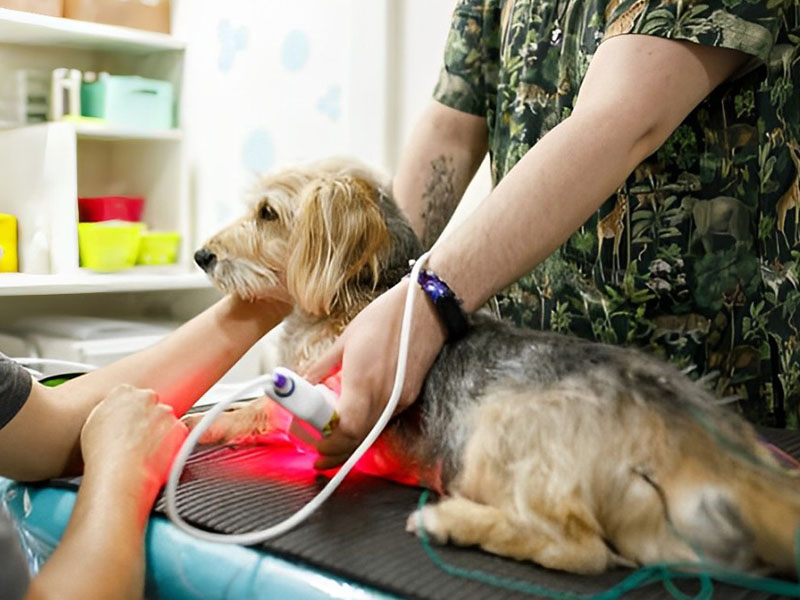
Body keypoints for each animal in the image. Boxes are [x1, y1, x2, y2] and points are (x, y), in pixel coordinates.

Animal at [191, 156, 800, 576]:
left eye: (267, 213)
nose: (202, 256)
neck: (356, 293)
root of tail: (690, 431)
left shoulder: (327, 393)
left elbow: (260, 410)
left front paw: (211, 424)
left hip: (497, 434)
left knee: (581, 550)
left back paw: (449, 521)